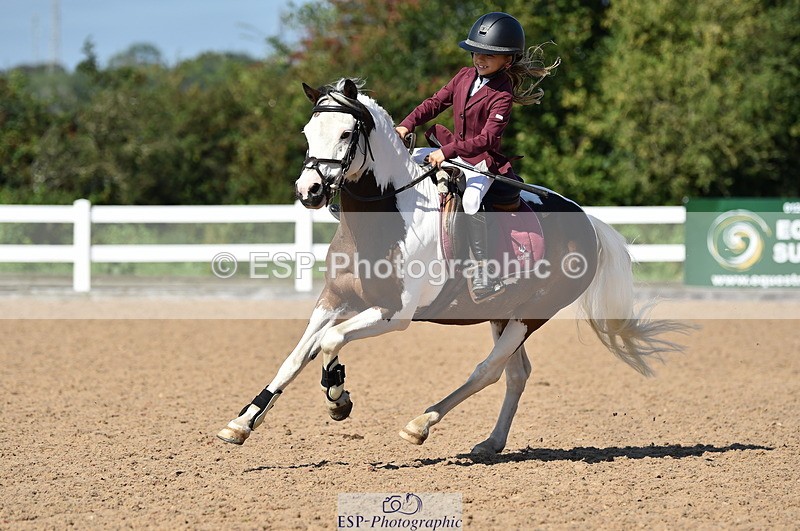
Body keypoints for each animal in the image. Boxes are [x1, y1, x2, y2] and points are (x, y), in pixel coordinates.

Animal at [217, 78, 688, 454]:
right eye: (308, 132)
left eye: (347, 133)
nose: (310, 191)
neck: (386, 219)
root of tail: (587, 221)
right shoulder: (333, 301)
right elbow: (297, 355)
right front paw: (242, 422)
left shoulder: (394, 314)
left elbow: (331, 343)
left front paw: (338, 396)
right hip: (502, 313)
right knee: (516, 373)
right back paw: (490, 443)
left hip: (531, 315)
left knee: (489, 371)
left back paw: (420, 424)